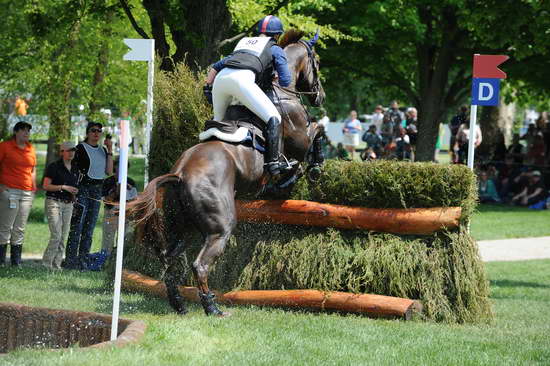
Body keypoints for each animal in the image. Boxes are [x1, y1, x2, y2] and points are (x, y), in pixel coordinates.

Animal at [129, 30, 328, 316]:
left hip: (185, 225)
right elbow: (319, 131)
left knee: (170, 259)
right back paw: (212, 308)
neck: (280, 90)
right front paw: (314, 166)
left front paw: (288, 179)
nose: (320, 96)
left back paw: (179, 304)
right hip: (220, 226)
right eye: (317, 62)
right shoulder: (301, 137)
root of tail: (180, 174)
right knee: (200, 264)